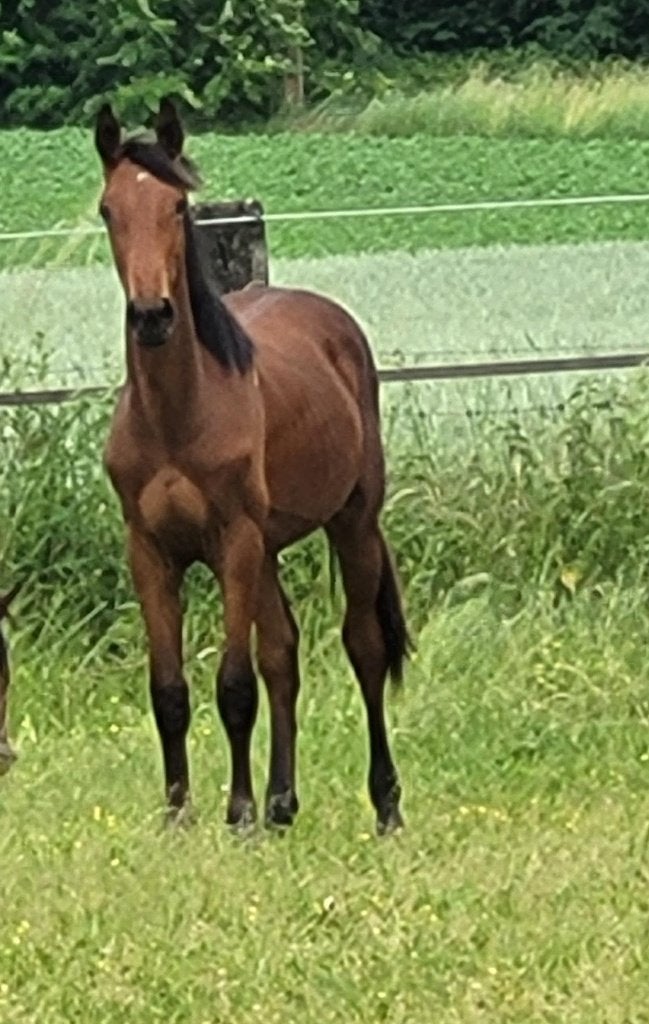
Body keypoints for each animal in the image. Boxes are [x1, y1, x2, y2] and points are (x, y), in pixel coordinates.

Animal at [95, 98, 409, 834]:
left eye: (177, 206)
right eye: (108, 209)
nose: (151, 315)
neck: (179, 415)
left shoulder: (233, 542)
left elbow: (234, 686)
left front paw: (235, 815)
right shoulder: (149, 552)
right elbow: (170, 690)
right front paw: (177, 815)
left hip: (350, 524)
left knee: (363, 647)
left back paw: (383, 804)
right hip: (267, 550)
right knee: (283, 655)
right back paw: (281, 804)